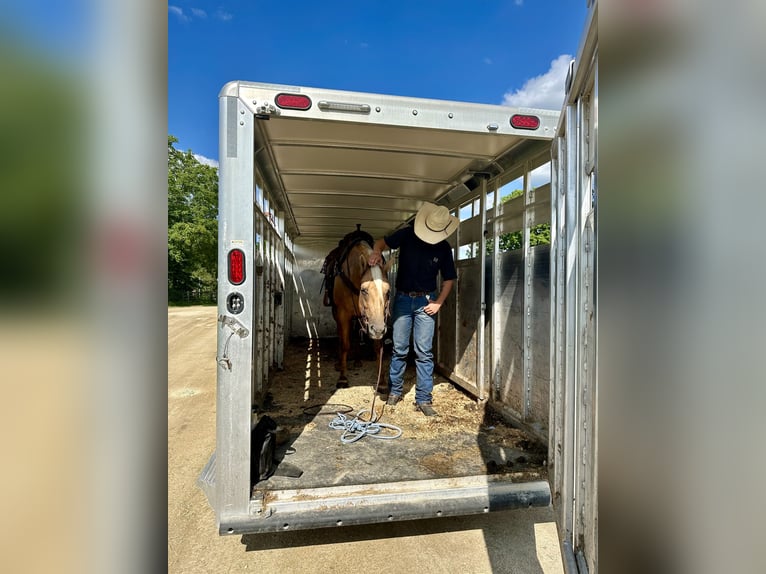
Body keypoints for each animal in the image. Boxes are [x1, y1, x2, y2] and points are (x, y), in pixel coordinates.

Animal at [332, 238, 392, 392]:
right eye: (364, 290)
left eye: (388, 291)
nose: (378, 330)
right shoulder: (343, 315)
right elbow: (345, 344)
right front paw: (342, 378)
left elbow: (378, 347)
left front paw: (381, 381)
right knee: (341, 336)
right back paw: (339, 363)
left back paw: (358, 360)